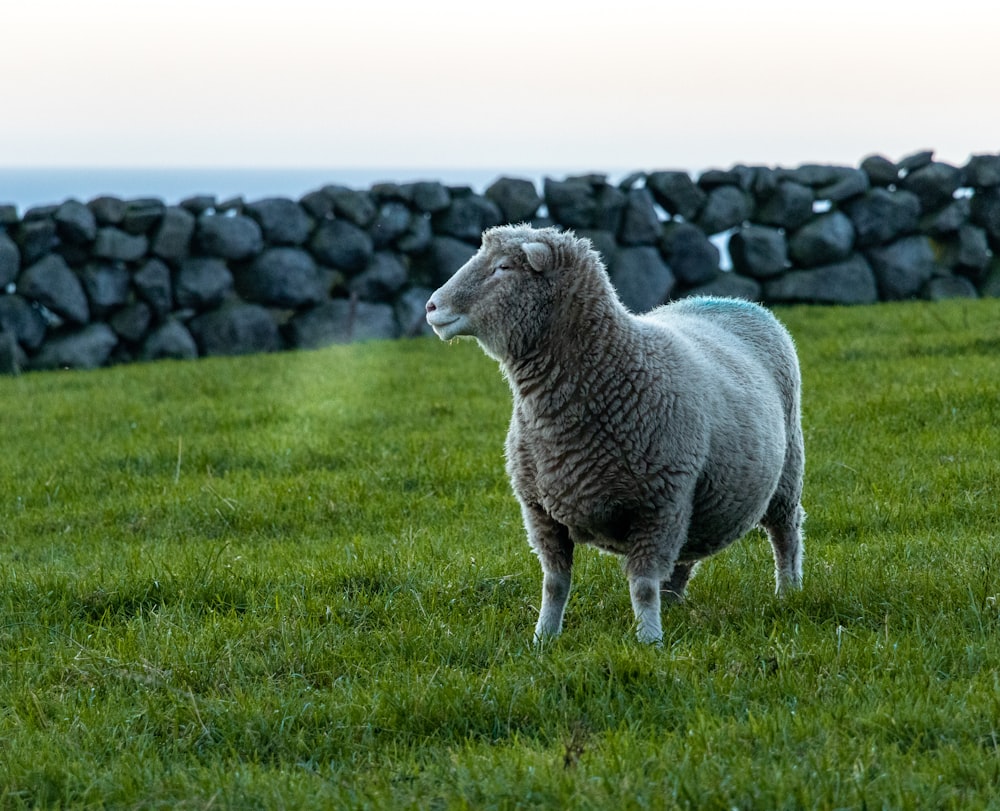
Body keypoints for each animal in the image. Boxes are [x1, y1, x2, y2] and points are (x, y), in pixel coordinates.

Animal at [424, 225, 804, 644]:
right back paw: (675, 604)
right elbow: (554, 584)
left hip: (783, 474)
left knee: (785, 533)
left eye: (504, 267)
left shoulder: (658, 506)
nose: (431, 307)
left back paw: (788, 591)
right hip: (696, 502)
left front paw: (648, 641)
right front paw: (544, 638)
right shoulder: (540, 510)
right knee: (684, 557)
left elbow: (642, 585)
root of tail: (730, 299)